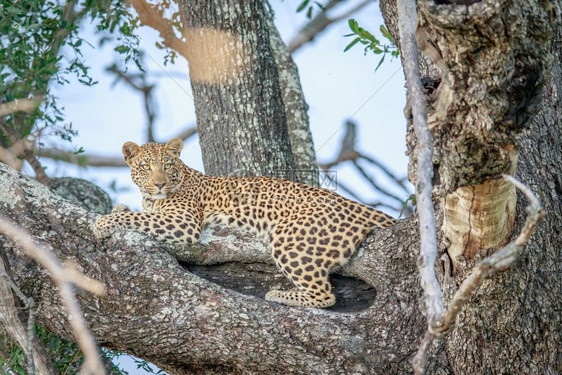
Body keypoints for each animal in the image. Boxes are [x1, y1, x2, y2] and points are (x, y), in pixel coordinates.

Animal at [93, 138, 394, 308]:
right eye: (146, 167)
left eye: (167, 165)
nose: (159, 184)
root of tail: (359, 206)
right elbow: (136, 212)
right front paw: (117, 208)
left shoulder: (183, 222)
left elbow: (136, 217)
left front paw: (103, 223)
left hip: (290, 239)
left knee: (325, 297)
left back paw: (279, 295)